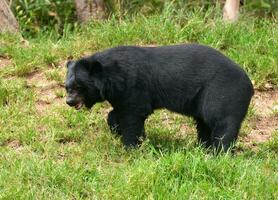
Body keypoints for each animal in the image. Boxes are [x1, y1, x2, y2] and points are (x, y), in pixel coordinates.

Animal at [65, 44, 254, 152]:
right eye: (67, 87)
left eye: (79, 87)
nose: (69, 102)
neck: (112, 78)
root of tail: (249, 84)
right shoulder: (120, 94)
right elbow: (117, 113)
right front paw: (117, 130)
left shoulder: (133, 86)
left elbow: (133, 115)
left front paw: (131, 146)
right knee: (204, 124)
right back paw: (204, 149)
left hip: (223, 92)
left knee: (222, 123)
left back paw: (218, 152)